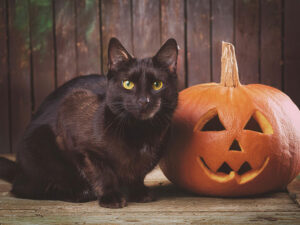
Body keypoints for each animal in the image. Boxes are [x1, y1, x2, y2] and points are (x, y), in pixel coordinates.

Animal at [0, 37, 178, 207]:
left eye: (157, 85)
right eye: (128, 84)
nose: (143, 101)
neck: (140, 132)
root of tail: (19, 169)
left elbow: (138, 174)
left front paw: (139, 192)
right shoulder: (74, 117)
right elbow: (102, 173)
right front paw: (111, 196)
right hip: (40, 145)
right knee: (25, 188)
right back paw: (80, 193)